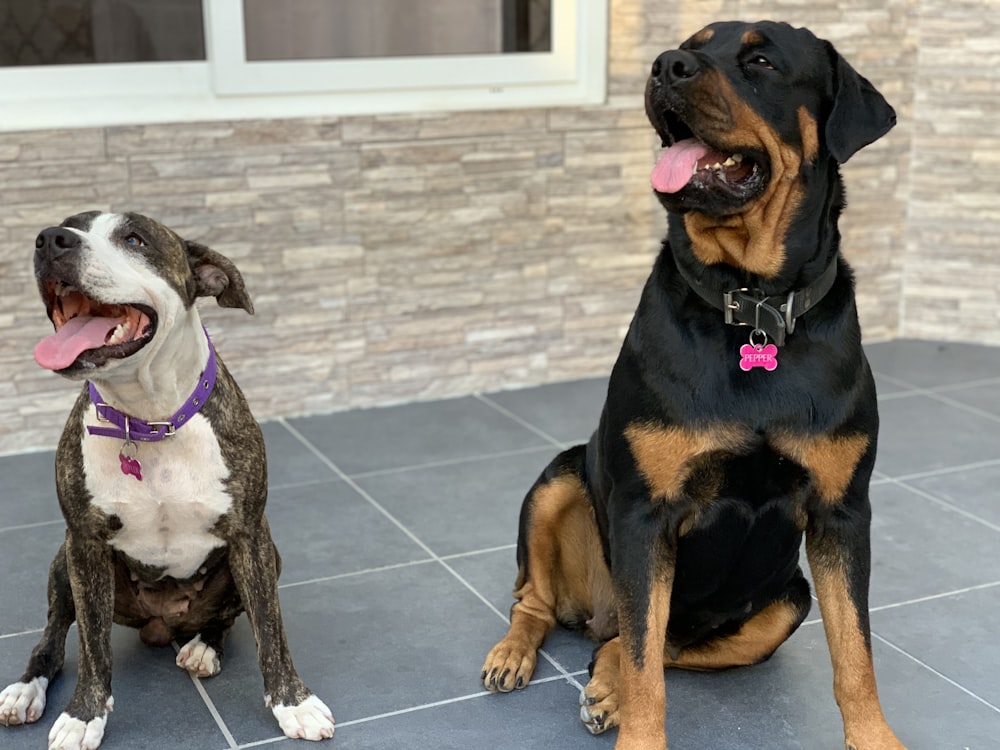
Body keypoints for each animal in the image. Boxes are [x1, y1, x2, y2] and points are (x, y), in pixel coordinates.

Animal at [484, 19, 908, 750]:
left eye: (761, 61)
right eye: (691, 45)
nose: (665, 66)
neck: (752, 306)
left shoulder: (843, 512)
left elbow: (855, 652)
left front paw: (875, 737)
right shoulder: (645, 511)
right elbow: (646, 669)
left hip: (787, 600)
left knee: (649, 642)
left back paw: (602, 682)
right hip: (560, 480)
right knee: (548, 605)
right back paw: (517, 654)